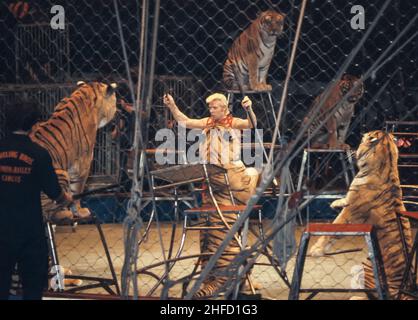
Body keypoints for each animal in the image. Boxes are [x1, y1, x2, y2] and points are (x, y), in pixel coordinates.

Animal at [308, 130, 414, 300]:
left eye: (362, 139)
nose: (352, 145)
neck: (388, 164)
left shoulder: (349, 212)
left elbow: (332, 229)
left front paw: (316, 249)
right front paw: (335, 202)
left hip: (363, 269)